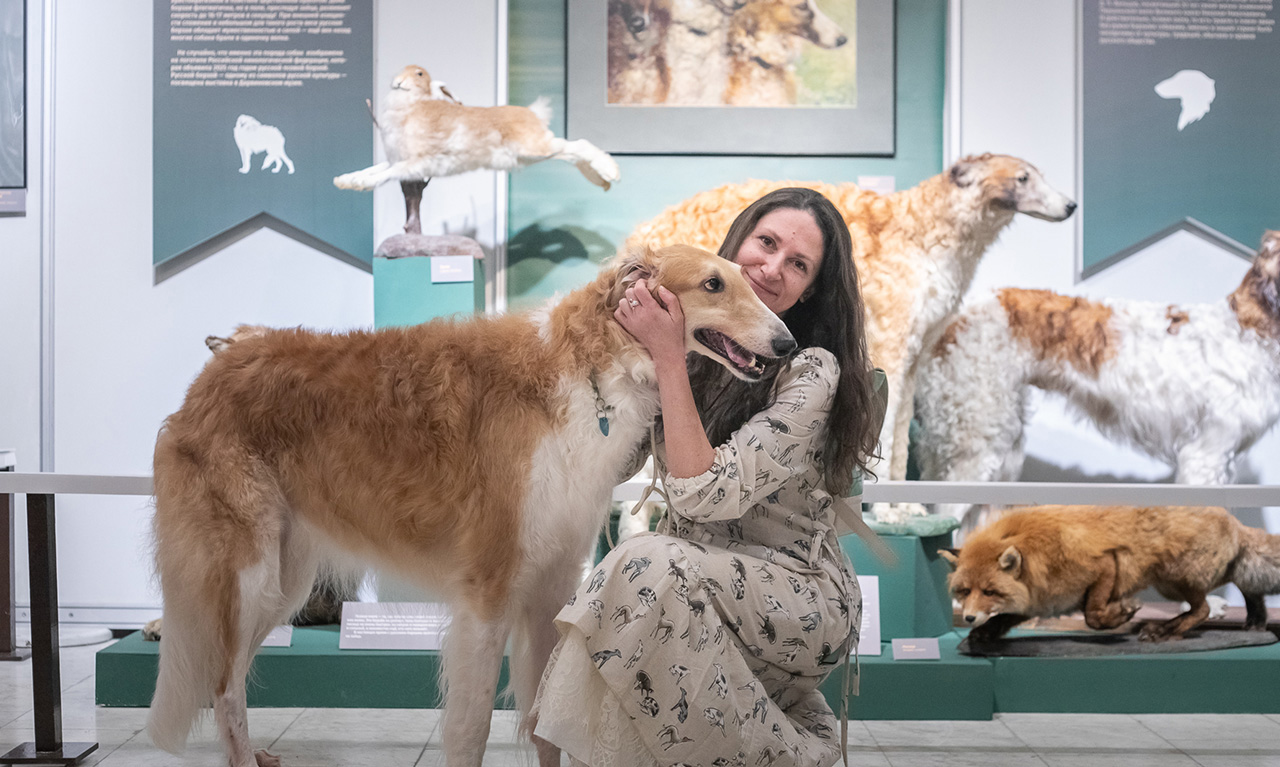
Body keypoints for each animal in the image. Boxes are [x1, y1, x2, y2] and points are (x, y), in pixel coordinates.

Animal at [147, 244, 788, 767]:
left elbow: (542, 725)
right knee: (224, 686)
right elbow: (471, 727)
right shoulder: (488, 589)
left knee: (227, 677)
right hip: (248, 573)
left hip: (285, 580)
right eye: (712, 284)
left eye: (748, 280)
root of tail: (217, 365)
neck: (585, 371)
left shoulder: (552, 583)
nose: (786, 344)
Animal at [332, 65, 622, 192]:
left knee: (577, 144)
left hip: (534, 147)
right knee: (571, 152)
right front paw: (345, 180)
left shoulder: (418, 162)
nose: (397, 81)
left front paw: (360, 185)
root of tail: (532, 113)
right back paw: (602, 180)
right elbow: (375, 168)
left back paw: (611, 172)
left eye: (419, 74)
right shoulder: (398, 158)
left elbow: (387, 174)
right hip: (527, 157)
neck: (412, 104)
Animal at [942, 507, 1280, 640]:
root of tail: (1233, 519)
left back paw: (1165, 631)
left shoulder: (1104, 563)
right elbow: (1004, 619)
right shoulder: (1041, 598)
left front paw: (1121, 615)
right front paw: (983, 634)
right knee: (1246, 588)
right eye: (964, 591)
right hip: (1179, 581)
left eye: (989, 592)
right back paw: (1255, 622)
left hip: (1174, 579)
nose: (968, 617)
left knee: (1204, 610)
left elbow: (1092, 614)